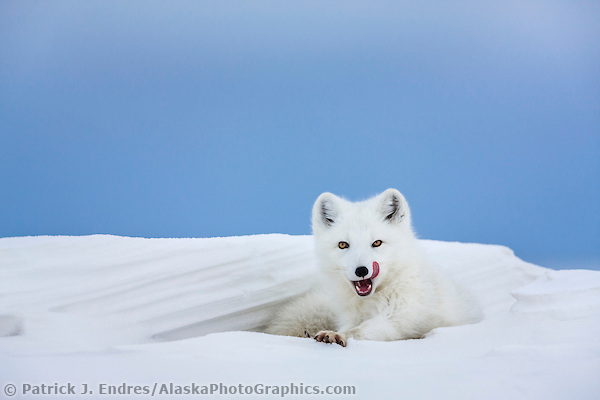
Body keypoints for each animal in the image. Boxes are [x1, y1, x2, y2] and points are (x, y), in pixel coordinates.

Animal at [268, 189, 482, 346]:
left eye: (377, 243)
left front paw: (337, 336)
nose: (361, 270)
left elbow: (360, 330)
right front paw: (333, 333)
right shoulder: (349, 317)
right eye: (343, 245)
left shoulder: (400, 319)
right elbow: (351, 327)